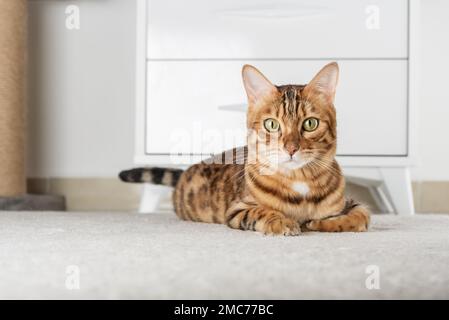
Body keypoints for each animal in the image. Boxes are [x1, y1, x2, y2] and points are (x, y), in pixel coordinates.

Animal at [119, 63, 368, 236]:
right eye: (272, 124)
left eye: (310, 123)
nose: (291, 148)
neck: (299, 181)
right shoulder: (238, 209)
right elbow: (261, 211)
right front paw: (283, 221)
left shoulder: (349, 202)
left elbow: (363, 215)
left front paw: (323, 223)